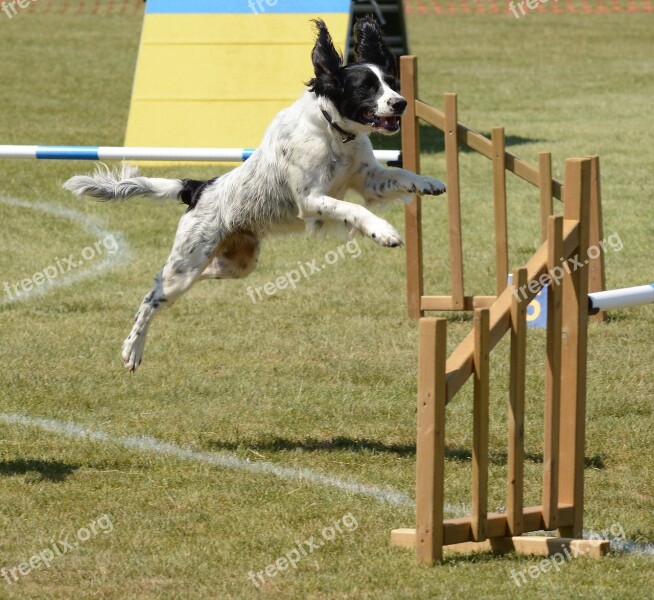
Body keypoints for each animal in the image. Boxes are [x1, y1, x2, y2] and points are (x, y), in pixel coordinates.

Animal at [65, 17, 446, 370]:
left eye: (391, 82)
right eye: (366, 87)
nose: (401, 104)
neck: (334, 133)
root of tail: (198, 188)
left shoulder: (368, 179)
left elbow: (400, 175)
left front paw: (429, 182)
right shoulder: (312, 200)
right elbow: (356, 210)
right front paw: (385, 232)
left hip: (236, 263)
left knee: (189, 278)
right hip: (186, 265)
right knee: (151, 297)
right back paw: (132, 350)